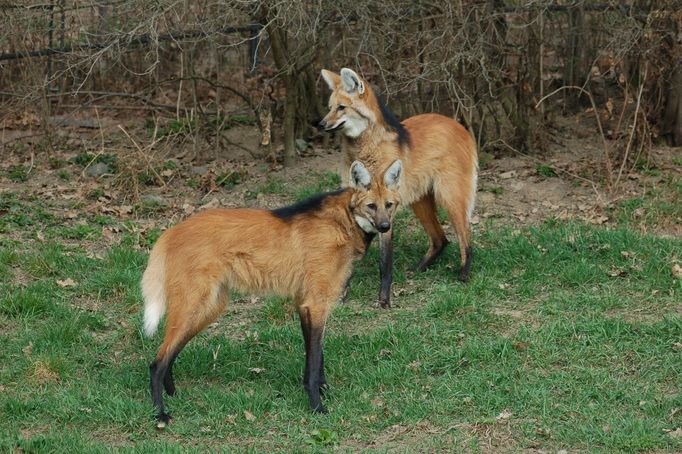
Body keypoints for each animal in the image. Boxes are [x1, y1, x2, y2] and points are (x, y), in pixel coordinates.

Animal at [141, 159, 402, 426]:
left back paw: (173, 393)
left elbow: (315, 356)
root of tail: (172, 231)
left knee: (170, 352)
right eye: (371, 206)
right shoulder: (317, 303)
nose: (385, 226)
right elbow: (315, 359)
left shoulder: (304, 302)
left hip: (209, 308)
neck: (345, 221)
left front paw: (322, 391)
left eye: (389, 205)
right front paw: (317, 406)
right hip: (196, 304)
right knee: (156, 363)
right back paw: (160, 413)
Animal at [320, 67, 476, 308]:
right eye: (329, 107)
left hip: (449, 196)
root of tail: (459, 125)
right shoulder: (359, 203)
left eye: (341, 107)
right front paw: (342, 292)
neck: (363, 151)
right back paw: (418, 269)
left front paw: (384, 299)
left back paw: (464, 274)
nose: (320, 124)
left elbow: (385, 262)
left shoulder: (386, 208)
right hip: (419, 200)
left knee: (465, 237)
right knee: (441, 238)